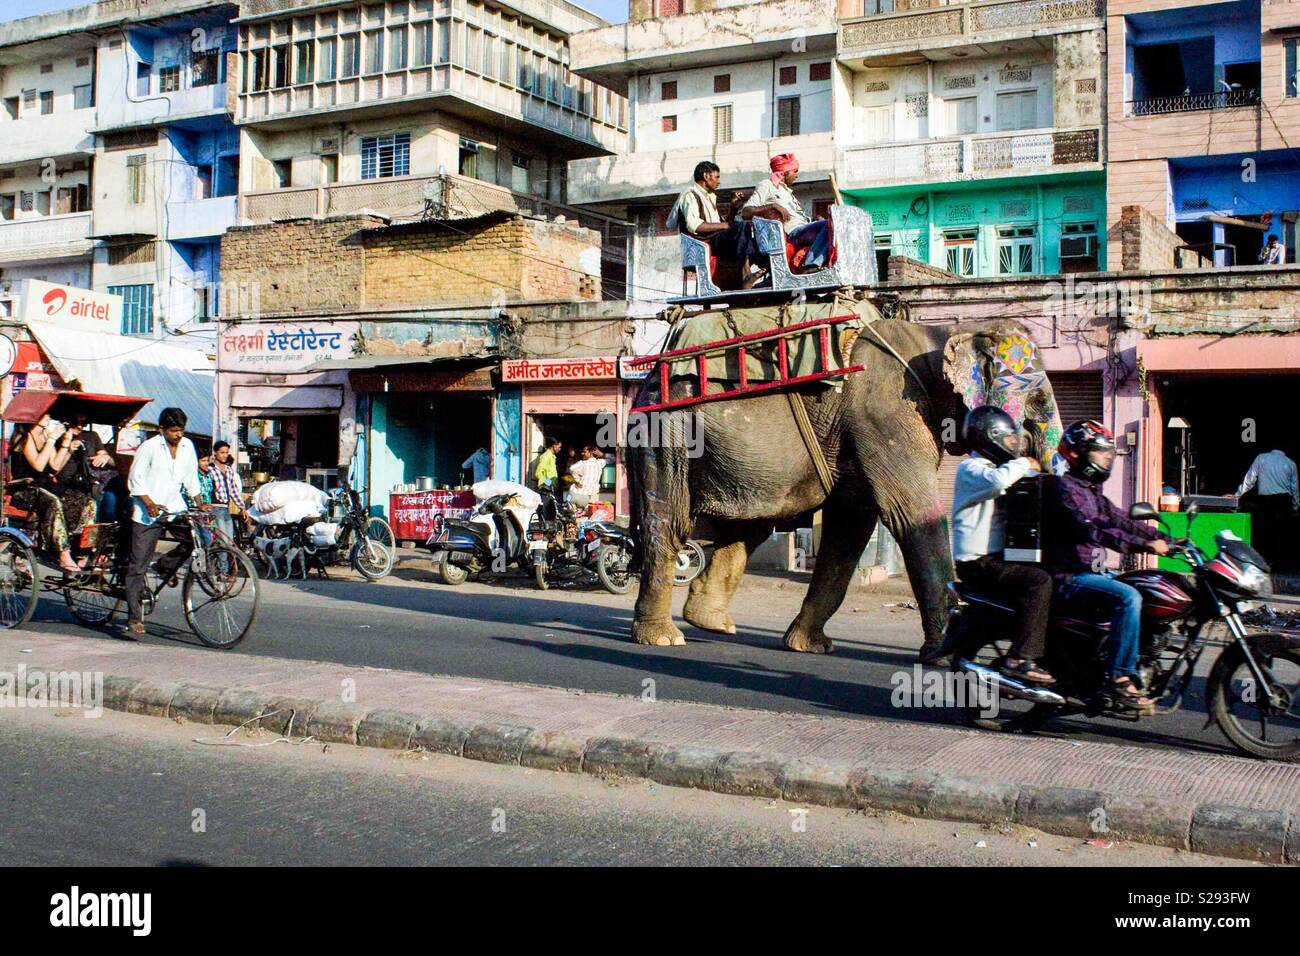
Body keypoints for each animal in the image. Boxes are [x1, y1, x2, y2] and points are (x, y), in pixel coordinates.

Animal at [624, 300, 1060, 658]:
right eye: (1039, 400)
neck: (938, 335)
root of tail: (644, 384)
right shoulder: (887, 412)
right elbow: (909, 513)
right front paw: (945, 651)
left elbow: (851, 524)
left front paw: (810, 646)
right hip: (667, 434)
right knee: (671, 525)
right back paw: (664, 638)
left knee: (753, 525)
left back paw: (711, 623)